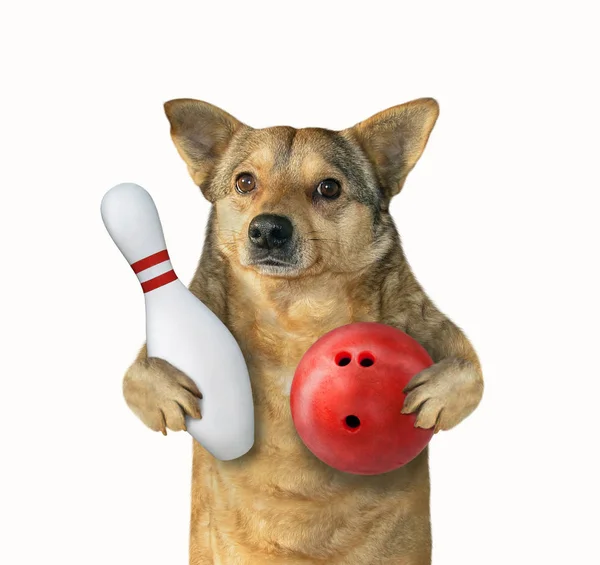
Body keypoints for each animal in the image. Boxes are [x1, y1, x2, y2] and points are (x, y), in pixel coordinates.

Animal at [120, 99, 482, 560]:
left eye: (328, 188)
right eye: (244, 182)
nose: (268, 229)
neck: (293, 313)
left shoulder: (432, 327)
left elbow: (470, 369)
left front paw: (437, 394)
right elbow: (135, 374)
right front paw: (164, 393)